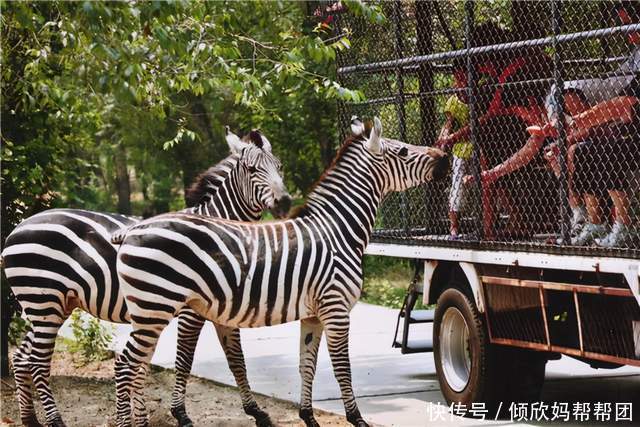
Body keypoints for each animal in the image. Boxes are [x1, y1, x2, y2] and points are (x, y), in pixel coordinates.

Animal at [1, 128, 292, 427]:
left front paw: (257, 412)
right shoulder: (190, 312)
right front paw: (180, 413)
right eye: (252, 169)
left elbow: (237, 359)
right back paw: (55, 420)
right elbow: (184, 359)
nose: (285, 202)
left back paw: (30, 419)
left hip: (50, 306)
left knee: (22, 357)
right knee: (37, 361)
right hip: (44, 301)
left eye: (279, 166)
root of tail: (17, 228)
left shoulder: (224, 308)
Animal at [112, 117, 448, 427]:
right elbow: (342, 367)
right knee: (125, 365)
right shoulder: (336, 308)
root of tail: (133, 229)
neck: (338, 230)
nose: (445, 157)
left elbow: (306, 364)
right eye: (403, 151)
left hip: (148, 312)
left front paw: (308, 417)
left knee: (136, 364)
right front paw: (357, 419)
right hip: (156, 308)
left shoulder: (313, 314)